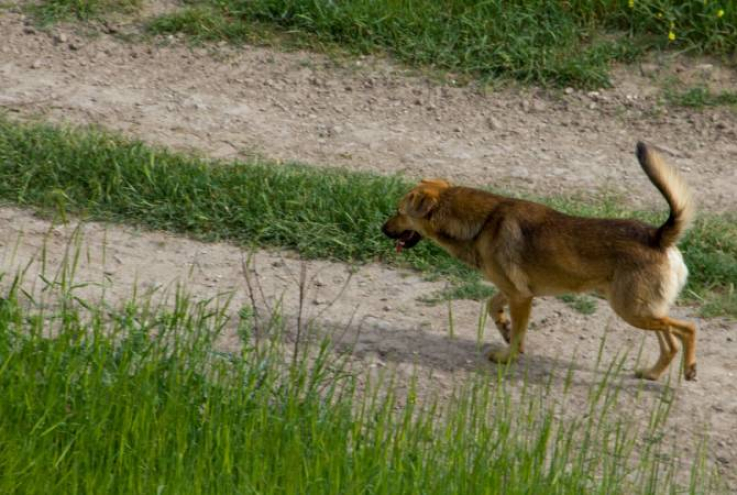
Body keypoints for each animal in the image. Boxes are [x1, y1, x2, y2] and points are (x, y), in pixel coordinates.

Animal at [382, 141, 700, 382]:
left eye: (399, 211)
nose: (382, 229)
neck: (483, 222)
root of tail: (658, 237)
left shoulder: (521, 297)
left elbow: (516, 330)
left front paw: (507, 356)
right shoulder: (516, 291)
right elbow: (493, 306)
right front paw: (504, 329)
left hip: (631, 309)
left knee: (686, 328)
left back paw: (690, 368)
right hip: (643, 308)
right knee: (670, 341)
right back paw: (653, 373)